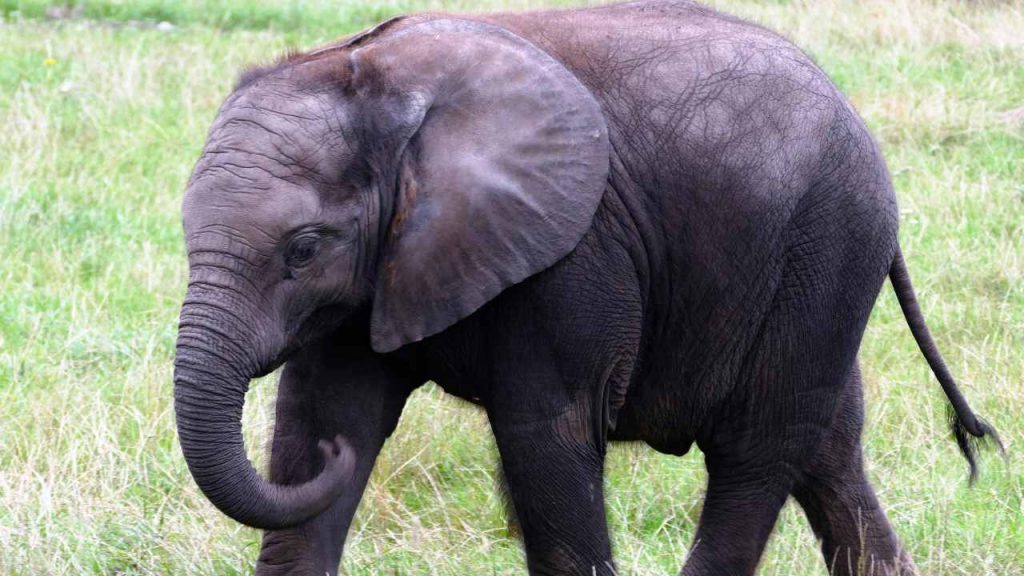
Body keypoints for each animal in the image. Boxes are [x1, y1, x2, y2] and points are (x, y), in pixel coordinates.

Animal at [172, 1, 1001, 575]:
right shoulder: (375, 277)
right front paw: (333, 445)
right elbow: (322, 415)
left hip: (825, 247)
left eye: (303, 249)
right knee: (829, 455)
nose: (341, 458)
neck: (375, 83)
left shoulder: (573, 256)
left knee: (756, 453)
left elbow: (548, 435)